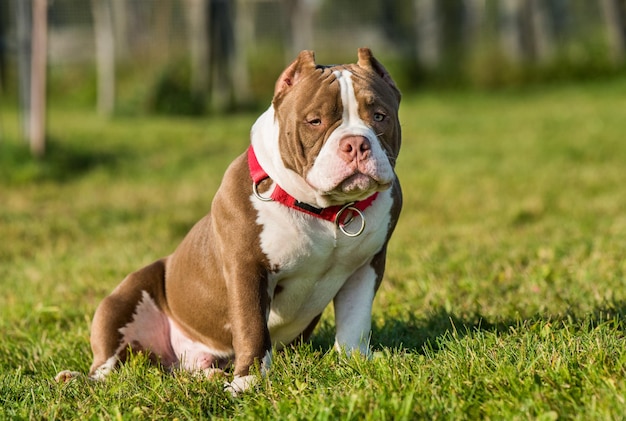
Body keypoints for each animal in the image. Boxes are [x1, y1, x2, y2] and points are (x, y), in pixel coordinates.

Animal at [56, 49, 402, 394]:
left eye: (379, 116)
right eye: (315, 121)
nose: (356, 144)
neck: (326, 212)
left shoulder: (365, 267)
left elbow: (355, 322)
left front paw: (356, 364)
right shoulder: (247, 269)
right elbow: (252, 328)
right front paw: (248, 381)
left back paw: (208, 374)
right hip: (123, 300)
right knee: (109, 366)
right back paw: (77, 378)